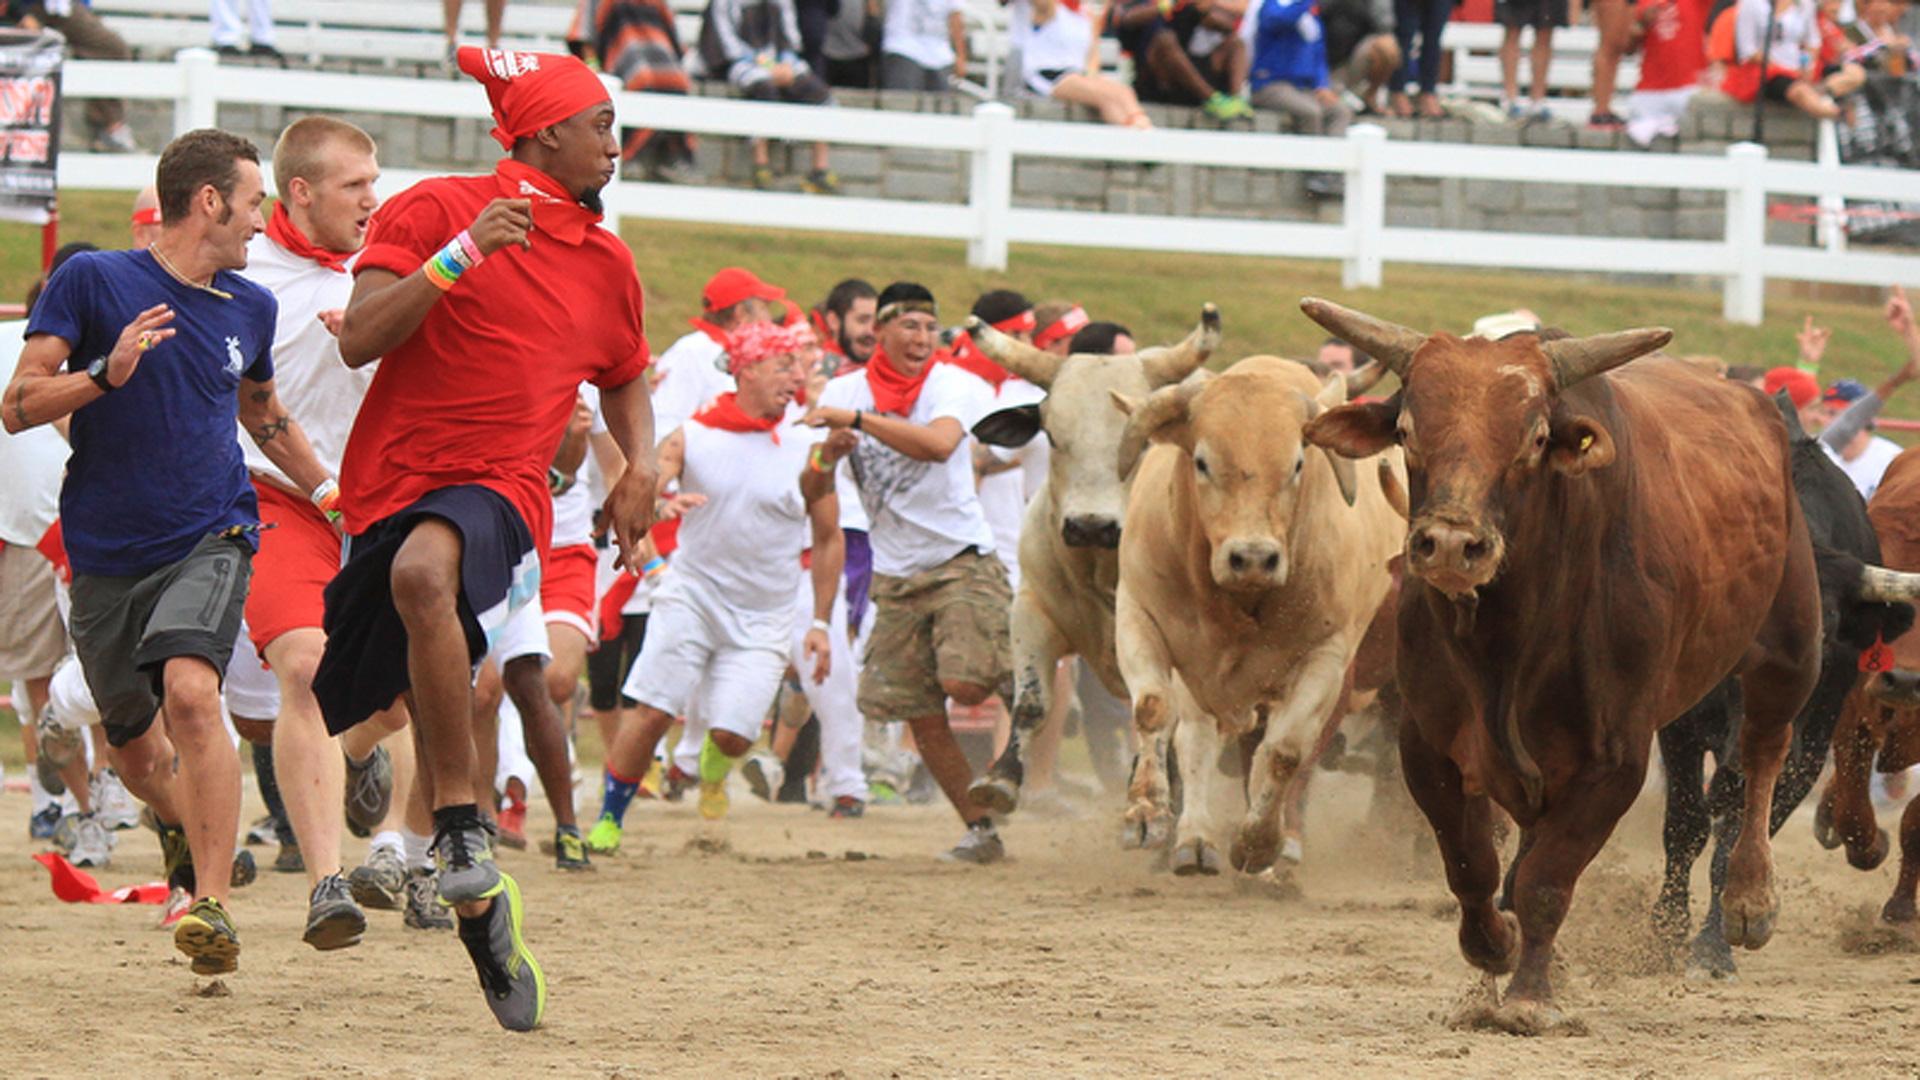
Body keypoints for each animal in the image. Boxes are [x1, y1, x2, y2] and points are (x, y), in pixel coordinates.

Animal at [1111, 355, 1404, 877]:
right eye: (1202, 461)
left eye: (1297, 464)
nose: (1251, 557)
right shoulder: (1139, 615)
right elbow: (1155, 711)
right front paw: (1146, 814)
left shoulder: (1328, 659)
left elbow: (1287, 752)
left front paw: (1261, 844)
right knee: (1198, 741)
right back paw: (1194, 840)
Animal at [1298, 298, 1822, 1034]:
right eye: (1405, 429)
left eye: (1536, 437)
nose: (1451, 544)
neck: (1509, 636)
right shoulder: (1427, 745)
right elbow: (1474, 866)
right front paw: (1495, 944)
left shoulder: (1615, 759)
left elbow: (1547, 881)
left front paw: (1528, 995)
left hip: (1791, 646)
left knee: (1765, 751)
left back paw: (1749, 899)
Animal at [1655, 395, 1916, 977]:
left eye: (1828, 633)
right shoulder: (1677, 728)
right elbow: (1684, 826)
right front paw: (1666, 928)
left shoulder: (1806, 754)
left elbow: (1735, 841)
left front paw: (1715, 943)